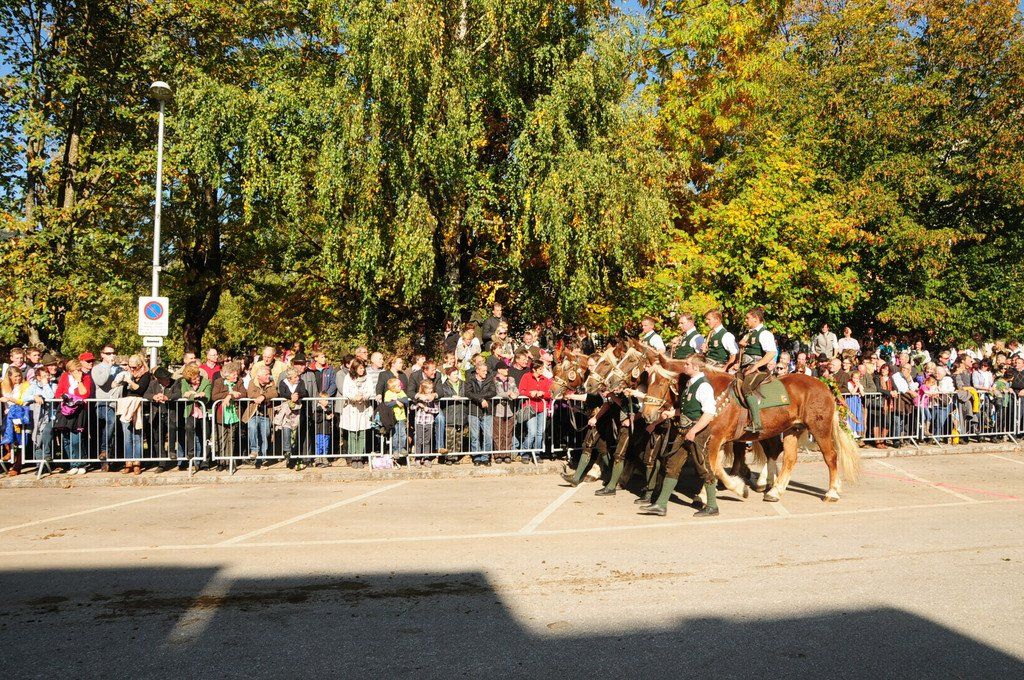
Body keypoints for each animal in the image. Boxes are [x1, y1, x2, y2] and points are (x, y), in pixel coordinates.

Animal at [640, 351, 860, 503]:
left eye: (661, 383)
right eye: (648, 380)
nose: (647, 414)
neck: (711, 391)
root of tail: (824, 385)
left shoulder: (716, 439)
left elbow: (715, 466)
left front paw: (738, 488)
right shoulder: (713, 440)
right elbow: (712, 466)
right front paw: (705, 493)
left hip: (819, 428)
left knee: (830, 456)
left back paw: (831, 492)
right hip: (792, 429)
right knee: (789, 458)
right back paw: (775, 490)